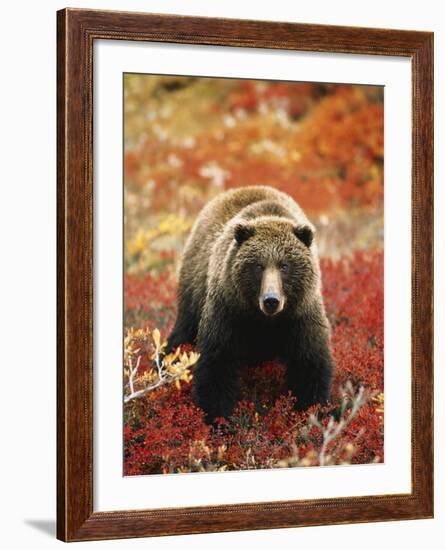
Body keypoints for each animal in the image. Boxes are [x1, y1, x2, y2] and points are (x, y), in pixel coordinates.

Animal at [166, 185, 332, 422]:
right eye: (258, 265)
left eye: (284, 265)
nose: (271, 300)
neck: (263, 320)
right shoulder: (228, 311)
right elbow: (216, 365)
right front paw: (219, 418)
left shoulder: (301, 316)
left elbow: (310, 365)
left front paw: (311, 411)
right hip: (194, 289)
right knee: (182, 332)